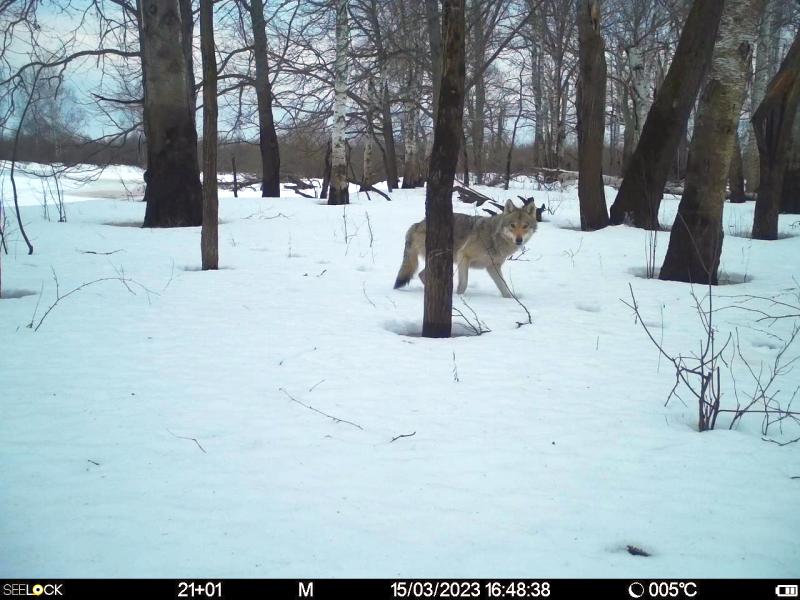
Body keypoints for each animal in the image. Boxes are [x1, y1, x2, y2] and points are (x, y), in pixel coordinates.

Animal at [394, 199, 536, 298]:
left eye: (525, 226)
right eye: (512, 225)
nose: (519, 240)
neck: (494, 238)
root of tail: (417, 224)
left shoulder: (492, 267)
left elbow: (504, 287)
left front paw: (511, 300)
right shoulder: (463, 256)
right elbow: (464, 284)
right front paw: (459, 298)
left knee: (421, 274)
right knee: (422, 274)